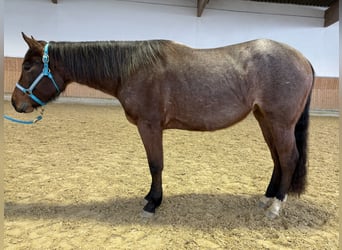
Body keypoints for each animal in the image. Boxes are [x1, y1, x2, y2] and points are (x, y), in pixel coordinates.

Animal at [12, 32, 314, 219]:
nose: (16, 103)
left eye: (28, 66)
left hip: (280, 122)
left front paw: (152, 203)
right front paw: (150, 197)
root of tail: (303, 59)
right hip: (266, 120)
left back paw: (275, 207)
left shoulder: (149, 125)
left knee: (288, 158)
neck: (132, 69)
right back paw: (267, 198)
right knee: (277, 158)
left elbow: (155, 164)